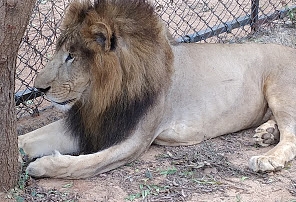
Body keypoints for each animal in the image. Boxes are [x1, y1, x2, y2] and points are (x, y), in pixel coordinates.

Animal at [17, 0, 296, 178]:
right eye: (61, 52)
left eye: (71, 56)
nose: (39, 88)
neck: (102, 98)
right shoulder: (88, 124)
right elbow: (28, 138)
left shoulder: (135, 140)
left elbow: (85, 165)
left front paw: (42, 166)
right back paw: (267, 133)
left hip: (280, 90)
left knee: (291, 136)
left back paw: (268, 158)